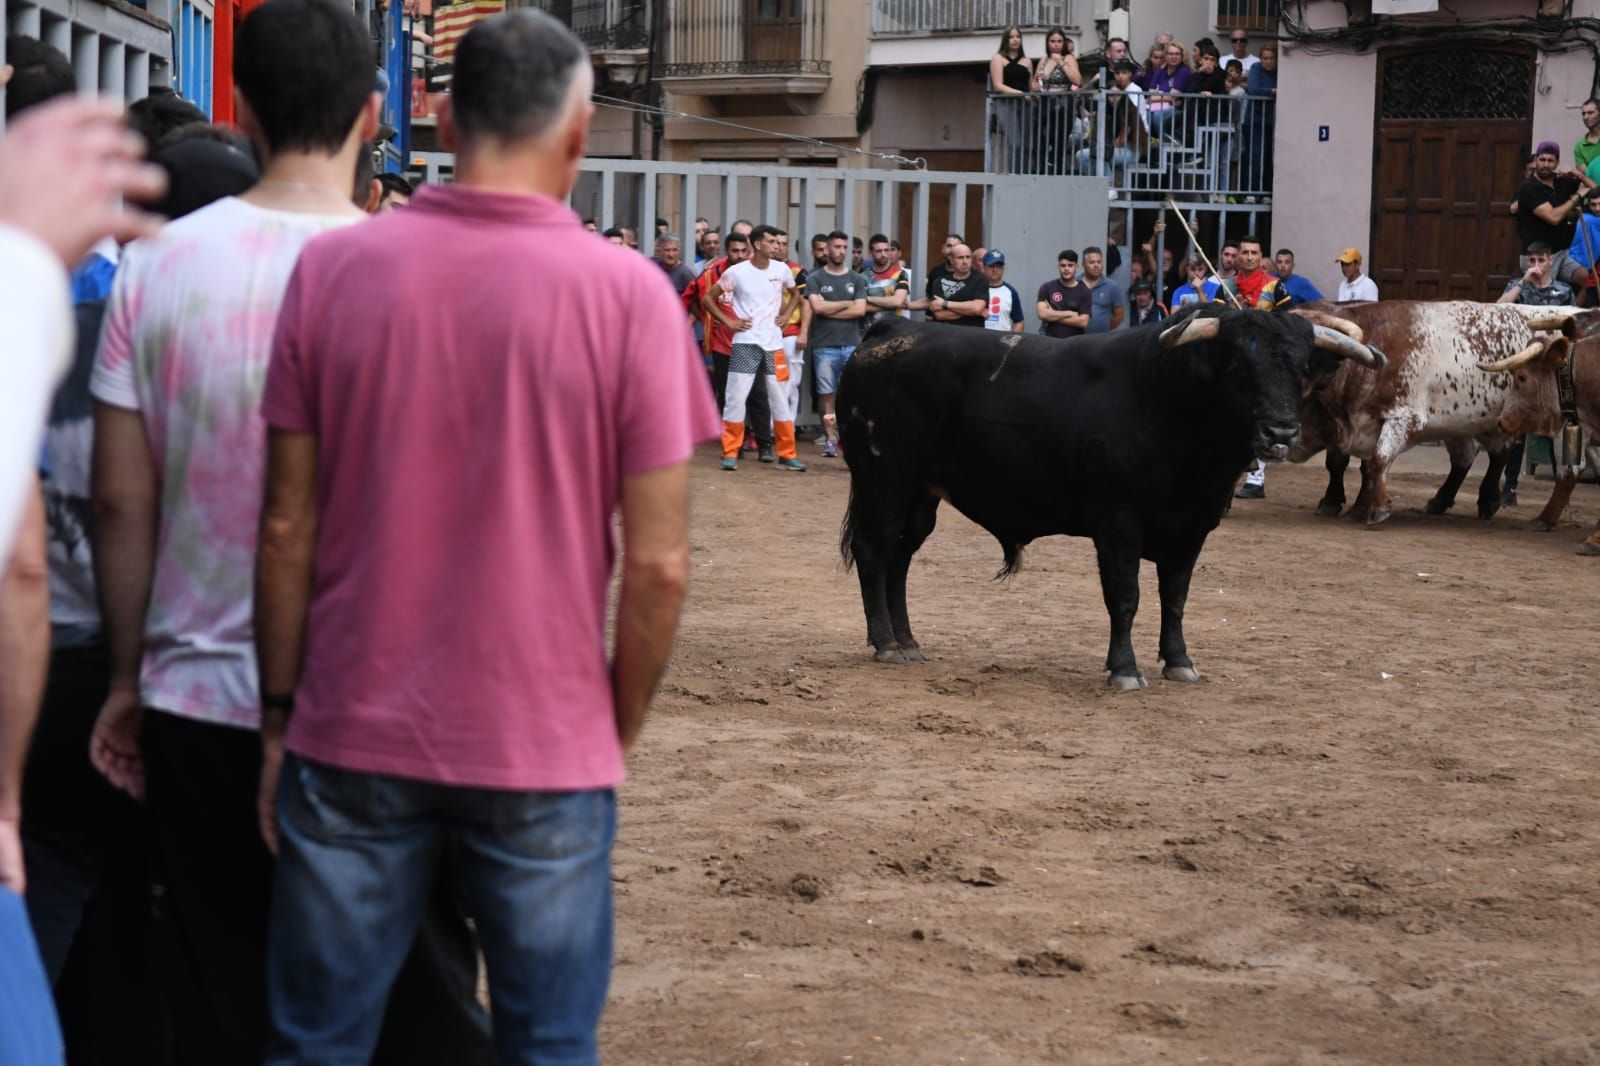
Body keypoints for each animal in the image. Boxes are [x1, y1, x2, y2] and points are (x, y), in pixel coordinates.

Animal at [838, 307, 1376, 688]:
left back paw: (907, 640)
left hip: (920, 493)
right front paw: (1125, 669)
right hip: (883, 479)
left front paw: (1180, 662)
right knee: (875, 551)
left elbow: (1175, 597)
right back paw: (885, 643)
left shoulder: (1192, 526)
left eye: (1302, 368)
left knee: (901, 557)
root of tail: (889, 329)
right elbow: (1125, 596)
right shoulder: (1117, 523)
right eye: (1239, 365)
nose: (1281, 431)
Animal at [1286, 299, 1574, 521]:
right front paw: (1350, 506)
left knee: (1511, 457)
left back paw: (1496, 503)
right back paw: (1445, 500)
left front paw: (1375, 509)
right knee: (1473, 456)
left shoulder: (1402, 418)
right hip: (1460, 422)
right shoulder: (1353, 425)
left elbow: (1378, 460)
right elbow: (1347, 464)